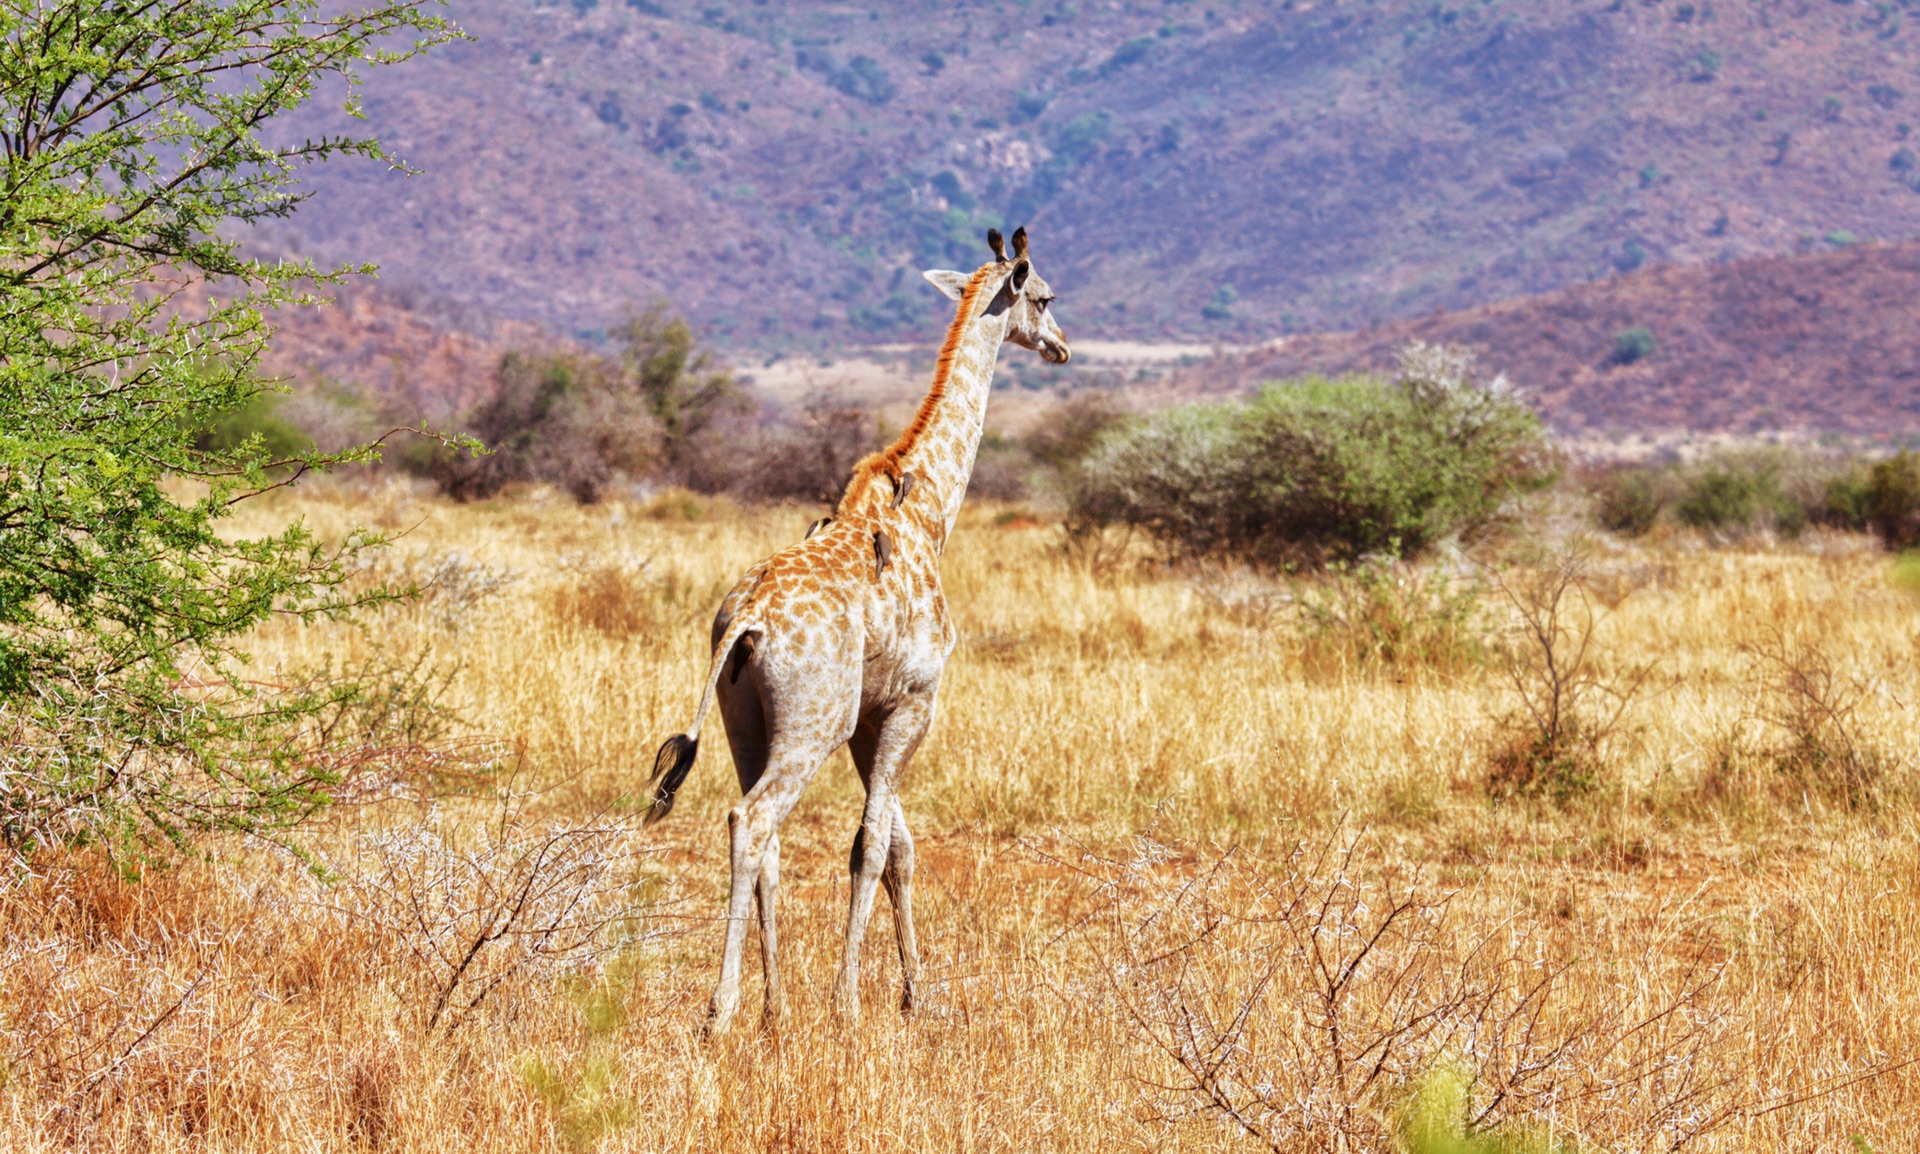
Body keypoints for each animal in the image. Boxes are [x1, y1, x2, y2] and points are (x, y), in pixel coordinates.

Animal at [641, 229, 1067, 1029]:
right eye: (1045, 296)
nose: (1060, 345)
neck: (929, 513)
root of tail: (746, 620)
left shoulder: (874, 714)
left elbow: (899, 845)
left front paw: (915, 995)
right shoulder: (913, 703)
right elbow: (870, 844)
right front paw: (849, 1007)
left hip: (747, 720)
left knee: (768, 840)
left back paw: (773, 1010)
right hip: (813, 724)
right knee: (751, 821)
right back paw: (722, 1010)